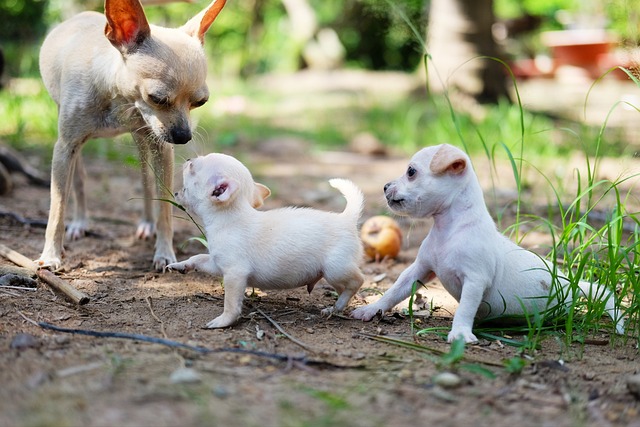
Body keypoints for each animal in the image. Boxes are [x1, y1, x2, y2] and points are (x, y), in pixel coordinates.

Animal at [37, 0, 228, 270]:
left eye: (200, 102)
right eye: (157, 98)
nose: (183, 136)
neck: (117, 96)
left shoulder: (162, 149)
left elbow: (165, 209)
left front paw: (164, 252)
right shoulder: (65, 147)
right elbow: (57, 206)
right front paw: (51, 254)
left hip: (143, 141)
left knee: (146, 181)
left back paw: (146, 224)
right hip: (72, 143)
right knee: (80, 178)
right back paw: (80, 222)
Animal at [165, 153, 364, 328]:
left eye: (192, 167)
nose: (188, 159)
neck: (229, 217)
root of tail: (346, 219)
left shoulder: (235, 273)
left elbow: (231, 303)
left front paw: (223, 321)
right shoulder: (217, 264)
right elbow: (197, 258)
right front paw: (180, 265)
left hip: (335, 269)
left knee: (357, 281)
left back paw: (339, 305)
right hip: (331, 274)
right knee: (344, 289)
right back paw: (334, 308)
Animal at [350, 145, 624, 344]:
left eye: (411, 172)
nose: (385, 186)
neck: (449, 230)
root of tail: (573, 284)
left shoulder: (474, 280)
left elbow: (464, 309)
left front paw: (460, 333)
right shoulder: (418, 270)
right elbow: (394, 290)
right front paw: (372, 308)